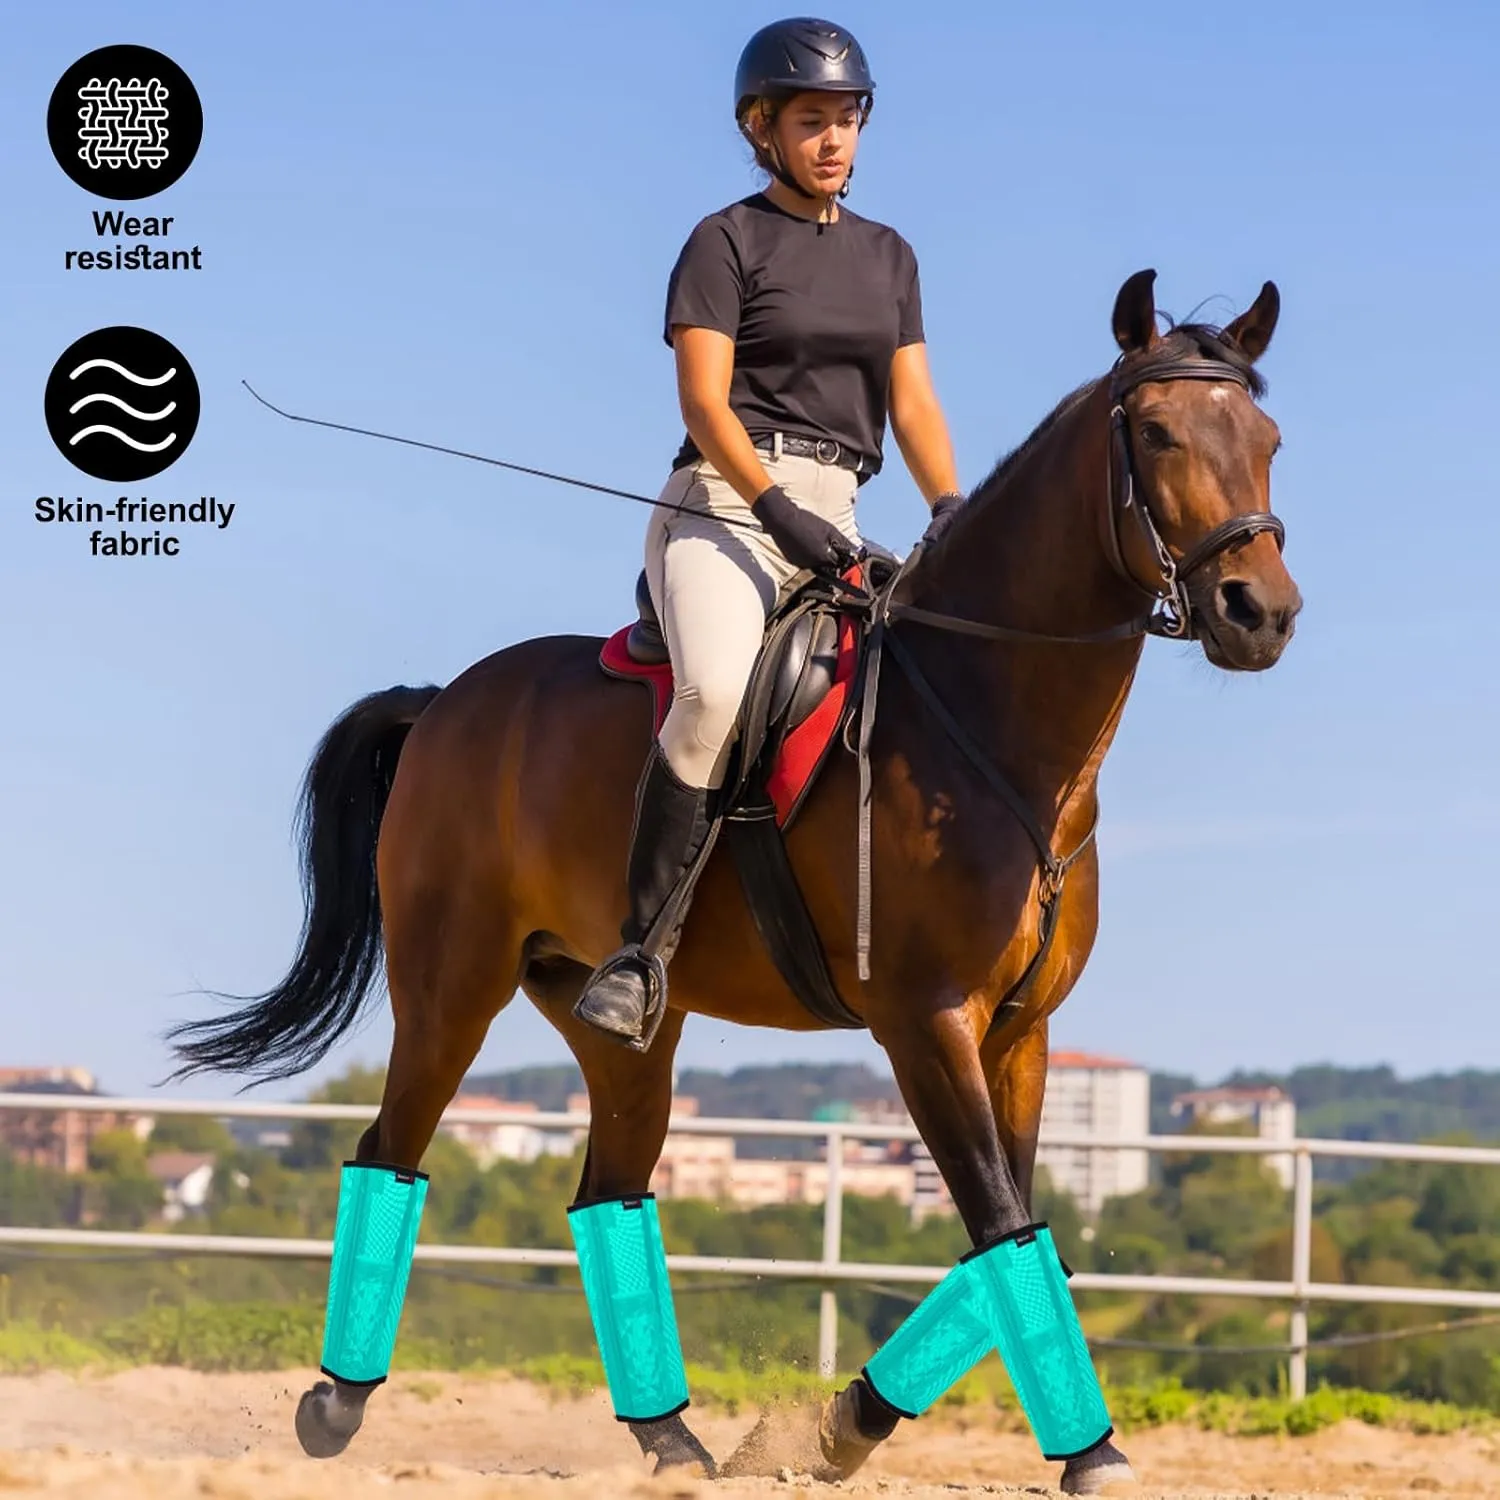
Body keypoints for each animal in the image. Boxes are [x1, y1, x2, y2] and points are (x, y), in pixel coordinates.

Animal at [167, 268, 1301, 1493]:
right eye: (1157, 434)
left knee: (607, 1189)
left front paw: (845, 1426)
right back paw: (335, 1407)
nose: (1261, 612)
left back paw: (671, 1441)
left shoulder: (1022, 1034)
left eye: (1269, 440)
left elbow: (1017, 1227)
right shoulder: (924, 1020)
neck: (988, 730)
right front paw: (1083, 1450)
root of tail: (446, 702)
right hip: (449, 986)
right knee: (391, 1150)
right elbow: (1001, 1223)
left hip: (619, 1026)